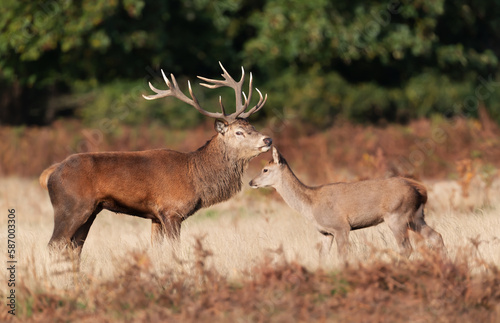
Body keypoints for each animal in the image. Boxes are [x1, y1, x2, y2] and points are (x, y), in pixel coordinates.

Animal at [40, 62, 272, 256]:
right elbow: (176, 250)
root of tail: (51, 173)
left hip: (91, 211)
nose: (268, 139)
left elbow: (156, 250)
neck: (195, 177)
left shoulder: (155, 217)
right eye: (239, 132)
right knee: (54, 244)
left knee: (75, 246)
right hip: (70, 206)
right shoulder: (171, 211)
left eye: (253, 126)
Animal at [250, 148, 446, 260]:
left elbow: (342, 256)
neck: (310, 205)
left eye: (265, 169)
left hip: (397, 215)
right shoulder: (325, 232)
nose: (251, 181)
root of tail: (420, 190)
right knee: (436, 237)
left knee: (406, 248)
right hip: (416, 217)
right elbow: (322, 257)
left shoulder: (340, 226)